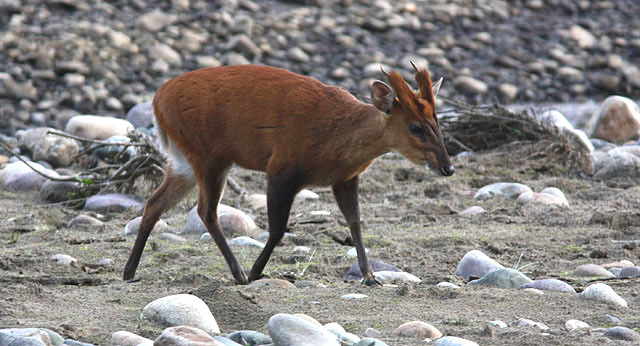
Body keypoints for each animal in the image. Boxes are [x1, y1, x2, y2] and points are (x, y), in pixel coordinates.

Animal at [124, 63, 456, 286]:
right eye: (415, 127)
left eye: (437, 122)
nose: (448, 167)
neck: (337, 137)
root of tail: (157, 100)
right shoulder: (281, 168)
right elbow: (277, 228)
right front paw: (256, 272)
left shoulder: (345, 178)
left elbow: (355, 222)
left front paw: (371, 276)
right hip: (207, 155)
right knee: (206, 210)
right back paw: (239, 273)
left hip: (184, 161)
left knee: (155, 203)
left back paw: (129, 272)